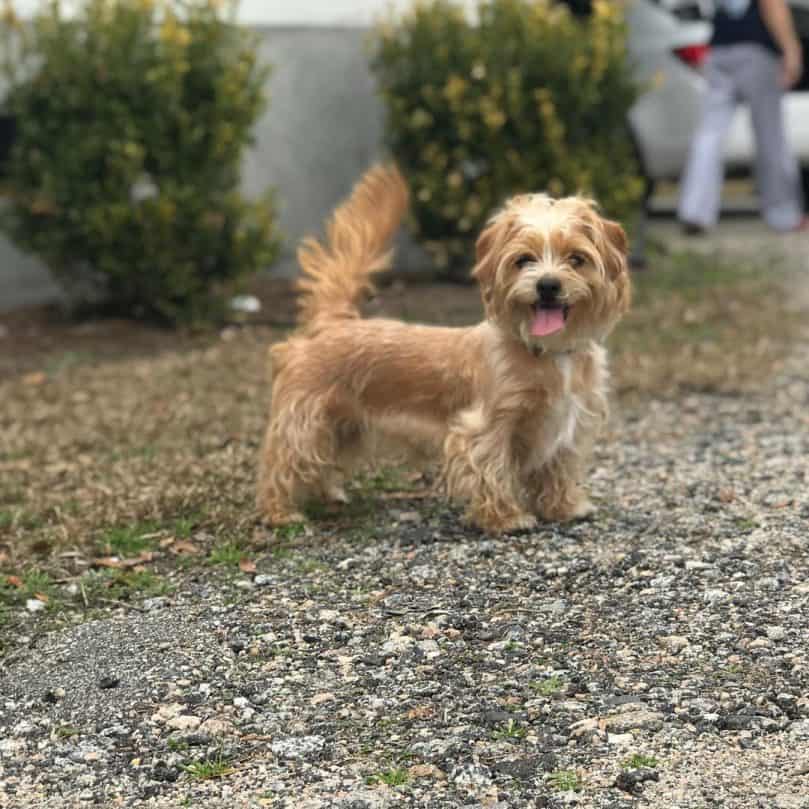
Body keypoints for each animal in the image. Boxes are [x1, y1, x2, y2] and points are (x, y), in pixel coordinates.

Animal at [258, 163, 632, 532]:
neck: (547, 350)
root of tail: (332, 322)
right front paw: (505, 518)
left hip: (344, 426)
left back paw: (331, 495)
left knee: (323, 461)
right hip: (305, 422)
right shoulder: (487, 427)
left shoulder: (569, 423)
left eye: (577, 259)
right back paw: (280, 513)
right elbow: (493, 469)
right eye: (523, 260)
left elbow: (558, 469)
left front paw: (564, 507)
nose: (548, 285)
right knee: (282, 463)